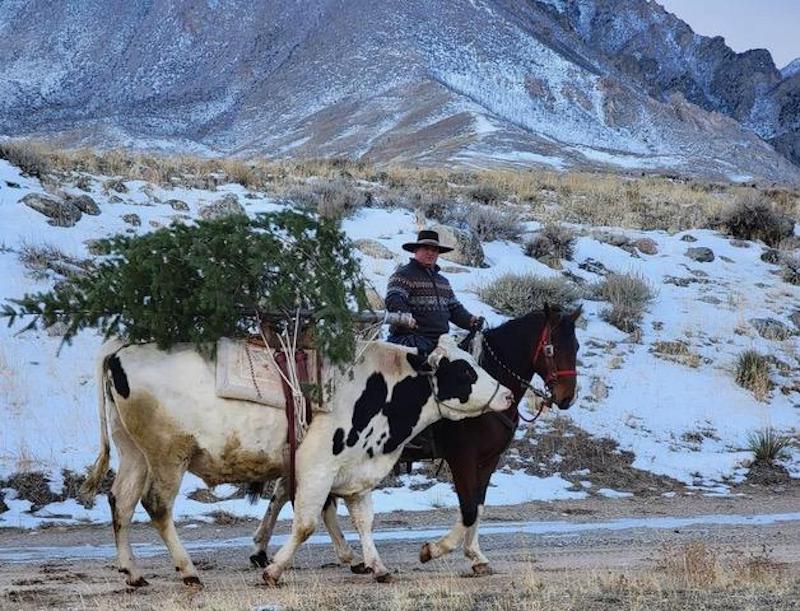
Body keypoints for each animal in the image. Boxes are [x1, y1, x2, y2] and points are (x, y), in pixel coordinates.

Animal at [80, 335, 512, 587]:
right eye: (464, 370)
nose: (508, 395)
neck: (378, 384)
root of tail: (121, 349)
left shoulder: (357, 470)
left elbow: (364, 521)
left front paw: (377, 566)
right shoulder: (317, 467)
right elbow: (306, 523)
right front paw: (273, 569)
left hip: (135, 452)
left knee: (122, 500)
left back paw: (133, 572)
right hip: (168, 454)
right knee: (156, 505)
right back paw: (188, 570)